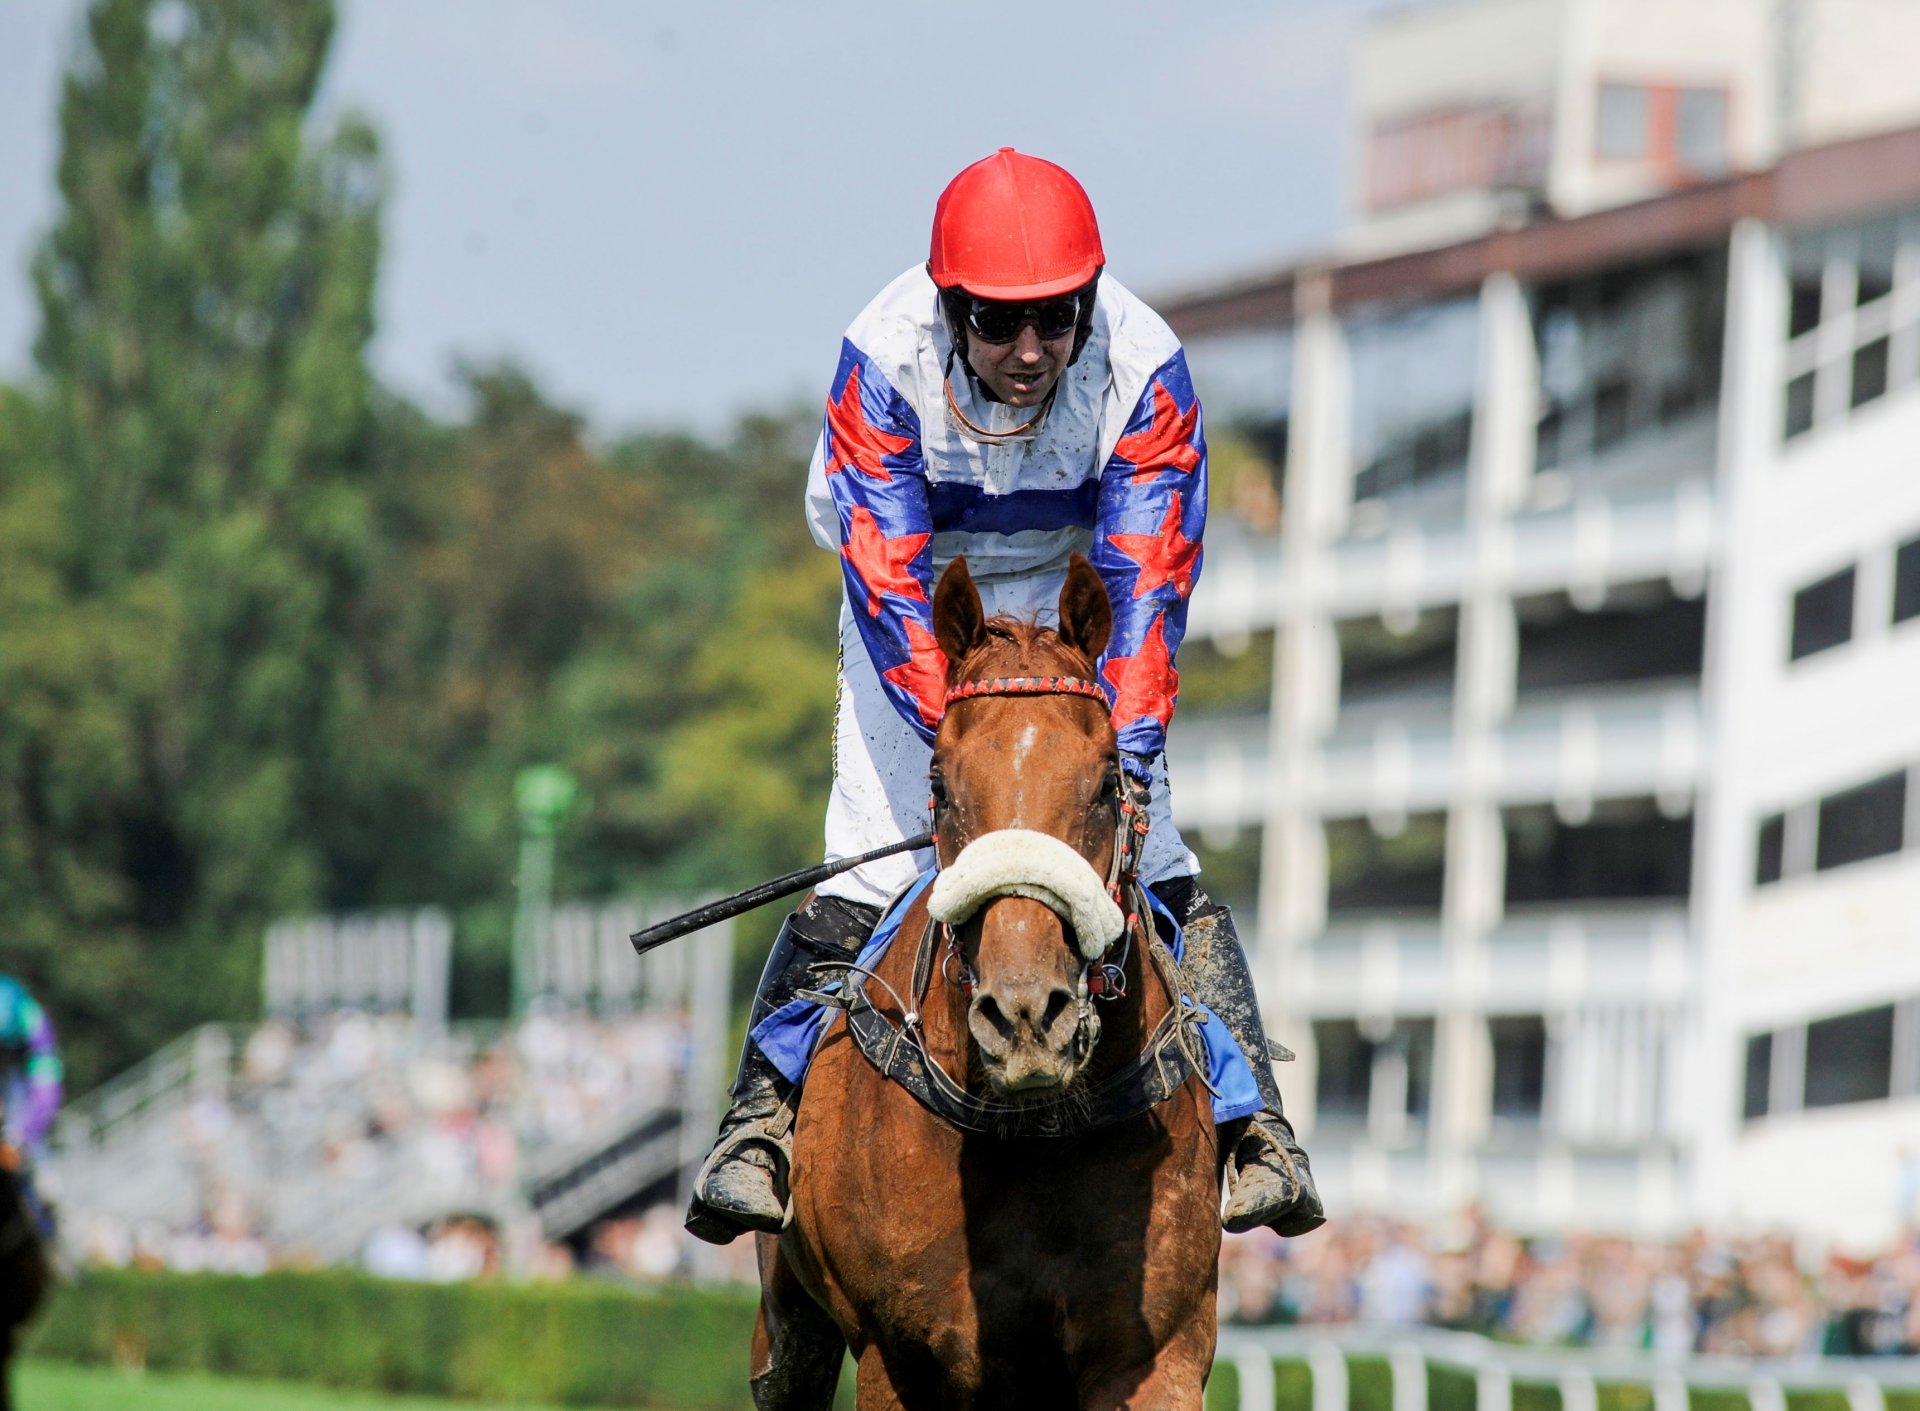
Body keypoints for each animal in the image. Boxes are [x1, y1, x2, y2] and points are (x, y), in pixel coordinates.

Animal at [744, 556, 1213, 1405]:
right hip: (786, 1324)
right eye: (940, 783)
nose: (1026, 1015)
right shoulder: (900, 1355)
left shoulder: (1155, 1352)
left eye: (1108, 784)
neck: (1032, 1133)